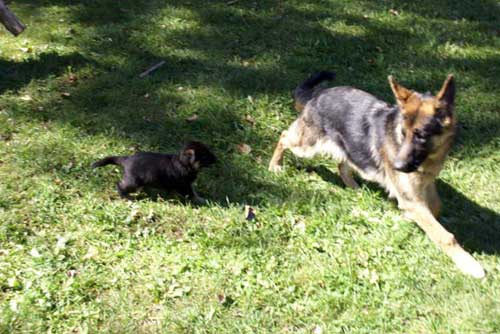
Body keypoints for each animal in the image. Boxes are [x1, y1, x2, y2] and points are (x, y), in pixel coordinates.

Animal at [270, 72, 484, 278]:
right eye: (403, 133)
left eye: (421, 135)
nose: (396, 166)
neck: (429, 158)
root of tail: (317, 95)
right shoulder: (412, 199)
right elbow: (445, 236)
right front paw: (469, 264)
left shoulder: (423, 187)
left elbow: (437, 207)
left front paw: (410, 218)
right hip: (307, 146)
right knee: (283, 136)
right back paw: (275, 165)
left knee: (342, 165)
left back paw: (355, 188)